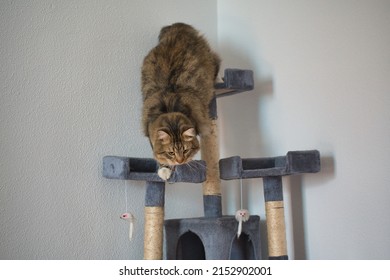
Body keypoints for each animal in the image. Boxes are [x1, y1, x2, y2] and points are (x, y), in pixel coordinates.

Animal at [141, 21, 221, 179]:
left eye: (185, 150)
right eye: (171, 152)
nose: (180, 161)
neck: (170, 108)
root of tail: (177, 26)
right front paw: (164, 170)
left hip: (210, 61)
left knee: (217, 61)